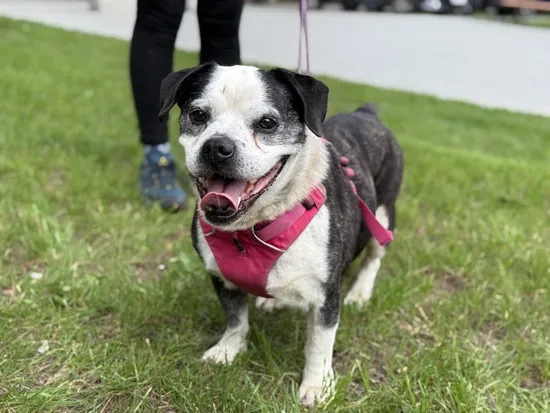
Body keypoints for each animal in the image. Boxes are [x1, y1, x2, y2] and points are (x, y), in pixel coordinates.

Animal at [160, 62, 406, 404]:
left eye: (267, 122)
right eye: (197, 115)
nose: (217, 146)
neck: (254, 228)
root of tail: (367, 113)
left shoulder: (326, 295)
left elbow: (318, 344)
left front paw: (317, 385)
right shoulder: (221, 277)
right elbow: (235, 319)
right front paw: (228, 350)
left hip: (383, 214)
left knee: (373, 257)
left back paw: (360, 293)